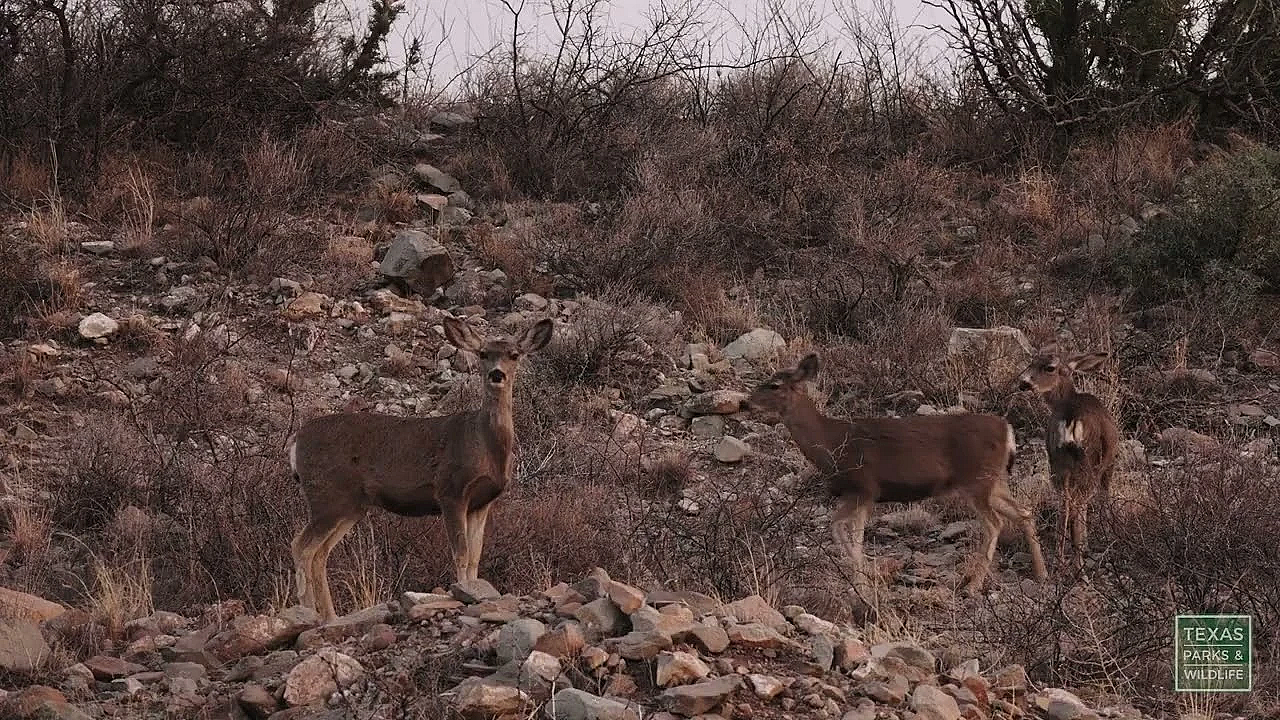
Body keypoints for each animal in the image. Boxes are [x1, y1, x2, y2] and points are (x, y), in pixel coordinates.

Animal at [286, 315, 554, 621]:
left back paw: (331, 617)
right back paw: (309, 614)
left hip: (350, 506)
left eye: (514, 354)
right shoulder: (450, 490)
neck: (484, 443)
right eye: (483, 353)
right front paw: (461, 593)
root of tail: (296, 440)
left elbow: (475, 556)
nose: (497, 375)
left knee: (320, 553)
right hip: (326, 495)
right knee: (301, 546)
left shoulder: (482, 502)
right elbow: (461, 553)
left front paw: (475, 590)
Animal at [745, 353, 1048, 602]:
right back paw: (1041, 574)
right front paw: (864, 581)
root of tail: (1007, 429)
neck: (832, 444)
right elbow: (847, 532)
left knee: (995, 523)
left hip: (978, 480)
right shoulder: (862, 495)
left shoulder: (864, 487)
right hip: (994, 482)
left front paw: (863, 586)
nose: (745, 402)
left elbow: (842, 530)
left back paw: (973, 587)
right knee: (1024, 512)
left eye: (774, 385)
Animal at [1017, 347, 1118, 574]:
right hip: (1088, 461)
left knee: (1064, 503)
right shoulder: (1109, 464)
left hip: (1056, 461)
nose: (1023, 382)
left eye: (1048, 367)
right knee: (1078, 502)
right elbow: (1103, 496)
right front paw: (1105, 534)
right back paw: (1079, 564)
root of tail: (1071, 419)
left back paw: (1059, 561)